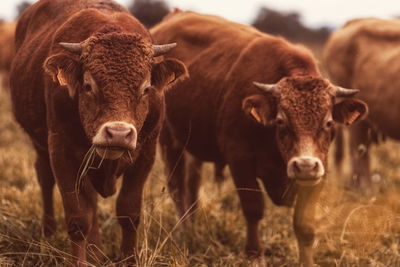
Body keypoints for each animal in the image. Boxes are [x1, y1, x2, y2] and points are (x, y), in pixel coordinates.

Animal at [9, 0, 188, 266]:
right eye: (88, 85)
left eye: (146, 88)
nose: (118, 133)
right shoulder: (60, 152)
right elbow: (78, 219)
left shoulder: (146, 153)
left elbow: (128, 213)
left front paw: (128, 259)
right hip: (40, 145)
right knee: (45, 177)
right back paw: (48, 233)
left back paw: (96, 252)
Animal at [151, 9, 368, 266]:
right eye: (281, 121)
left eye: (328, 123)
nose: (304, 165)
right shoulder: (239, 160)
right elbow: (253, 209)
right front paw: (255, 254)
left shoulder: (319, 171)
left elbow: (304, 224)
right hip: (169, 140)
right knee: (177, 186)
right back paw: (184, 229)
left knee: (192, 183)